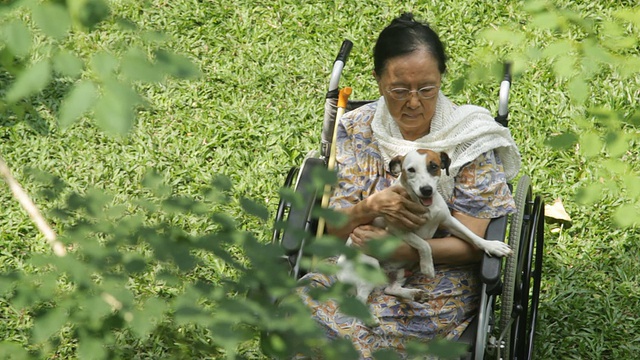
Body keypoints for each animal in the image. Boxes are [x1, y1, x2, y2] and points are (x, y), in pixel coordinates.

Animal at [338, 149, 512, 304]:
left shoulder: (448, 221)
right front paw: (428, 267)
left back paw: (414, 294)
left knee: (390, 289)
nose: (426, 190)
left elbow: (472, 236)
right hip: (369, 266)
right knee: (361, 300)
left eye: (434, 166)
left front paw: (491, 246)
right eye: (411, 170)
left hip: (402, 272)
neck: (426, 207)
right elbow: (424, 244)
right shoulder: (396, 229)